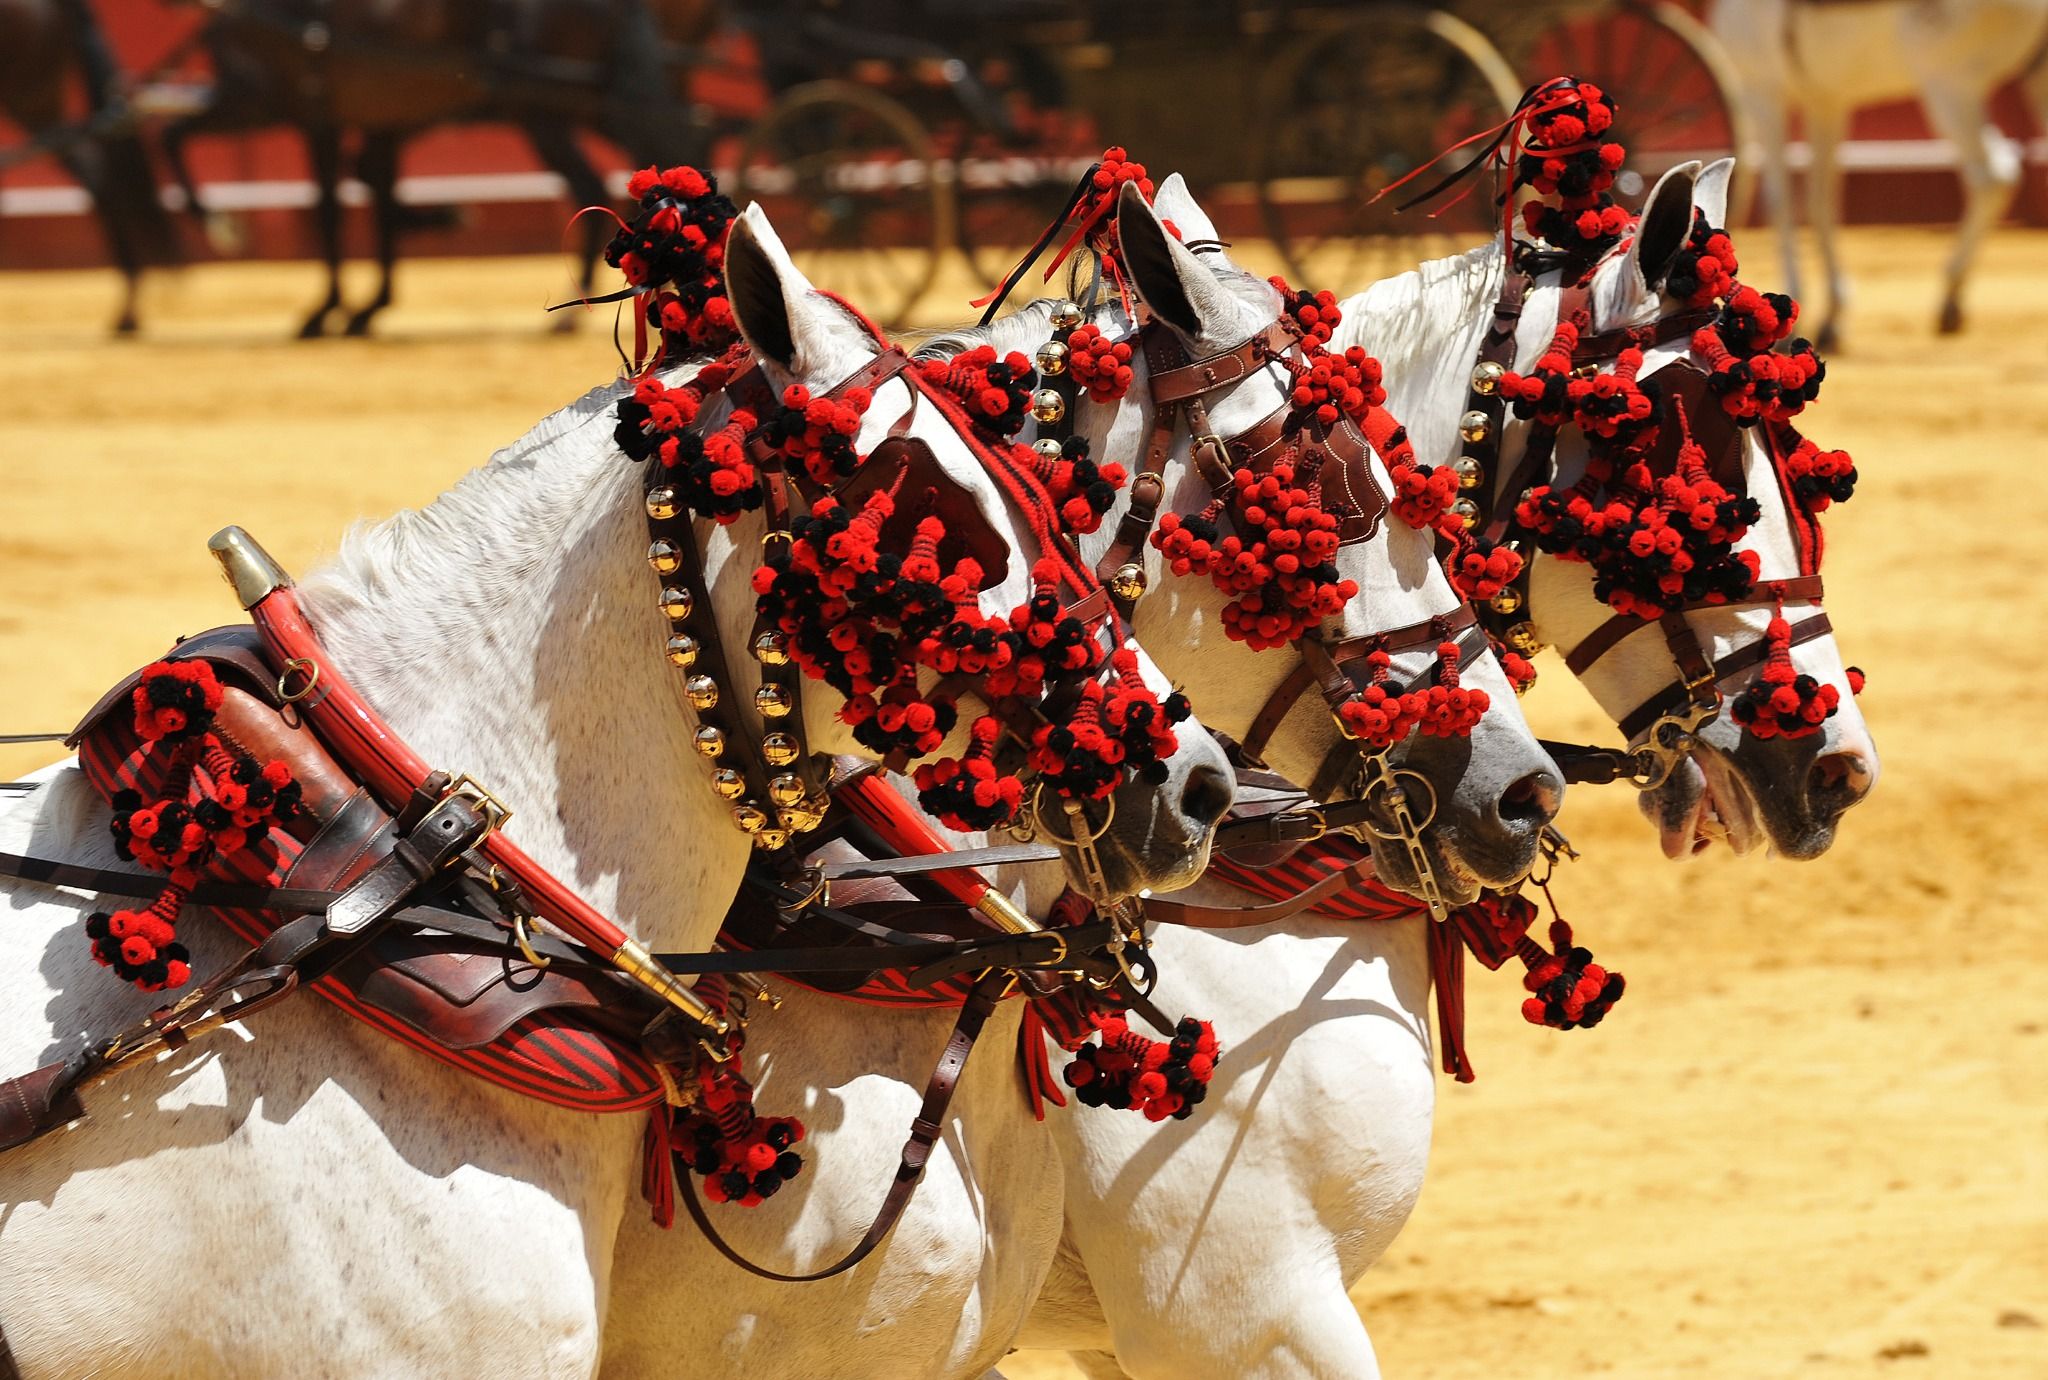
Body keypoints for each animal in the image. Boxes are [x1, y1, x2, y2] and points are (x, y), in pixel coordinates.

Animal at [159, 0, 712, 337]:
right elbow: (371, 196)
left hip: (546, 108)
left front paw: (322, 308)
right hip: (586, 101)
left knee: (598, 179)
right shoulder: (348, 118)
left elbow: (328, 210)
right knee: (665, 151)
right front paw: (363, 306)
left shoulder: (279, 102)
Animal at [1709, 0, 2048, 344]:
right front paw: (1833, 314)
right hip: (2030, 79)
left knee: (1992, 177)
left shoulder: (1763, 89)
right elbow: (1822, 200)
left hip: (1950, 83)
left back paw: (1951, 294)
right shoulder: (1826, 101)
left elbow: (1781, 202)